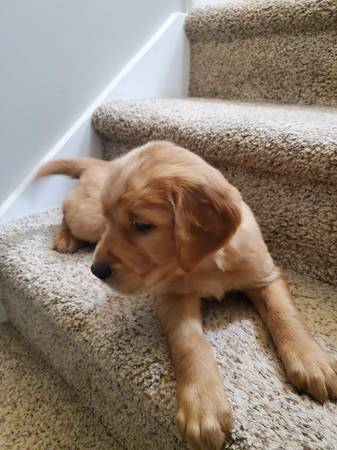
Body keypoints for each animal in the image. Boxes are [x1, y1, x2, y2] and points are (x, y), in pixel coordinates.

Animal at [38, 142, 334, 450]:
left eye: (142, 225)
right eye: (116, 220)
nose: (96, 270)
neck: (205, 261)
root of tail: (101, 163)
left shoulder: (266, 276)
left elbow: (284, 314)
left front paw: (311, 360)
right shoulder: (171, 296)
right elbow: (189, 342)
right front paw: (203, 405)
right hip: (89, 218)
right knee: (66, 210)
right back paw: (65, 239)